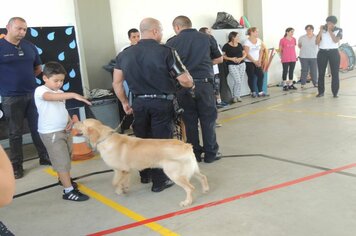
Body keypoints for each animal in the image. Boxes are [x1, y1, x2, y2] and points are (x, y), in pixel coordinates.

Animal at [73, 119, 209, 206]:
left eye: (82, 122)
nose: (73, 122)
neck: (105, 139)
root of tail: (186, 145)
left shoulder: (120, 170)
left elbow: (114, 182)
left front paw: (119, 191)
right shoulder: (126, 171)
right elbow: (123, 181)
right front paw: (125, 188)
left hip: (174, 174)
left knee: (190, 188)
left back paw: (187, 202)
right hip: (192, 169)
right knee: (203, 177)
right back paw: (205, 190)